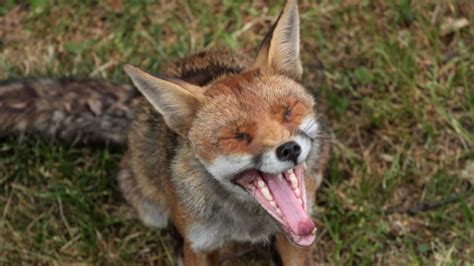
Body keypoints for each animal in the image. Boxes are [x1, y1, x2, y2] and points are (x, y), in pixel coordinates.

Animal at [0, 1, 330, 264]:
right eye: (236, 137)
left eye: (288, 111)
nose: (289, 149)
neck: (250, 225)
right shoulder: (199, 245)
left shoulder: (295, 239)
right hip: (151, 210)